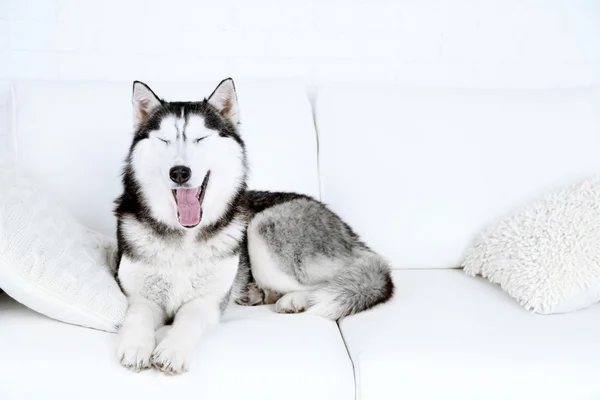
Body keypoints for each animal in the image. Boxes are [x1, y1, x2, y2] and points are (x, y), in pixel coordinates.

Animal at [113, 79, 394, 376]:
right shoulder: (140, 296)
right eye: (164, 140)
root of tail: (344, 227)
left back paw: (294, 300)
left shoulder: (209, 301)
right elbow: (138, 315)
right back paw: (257, 293)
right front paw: (136, 346)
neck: (185, 238)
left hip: (263, 227)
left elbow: (188, 319)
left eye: (201, 139)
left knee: (335, 283)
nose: (179, 172)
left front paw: (172, 349)